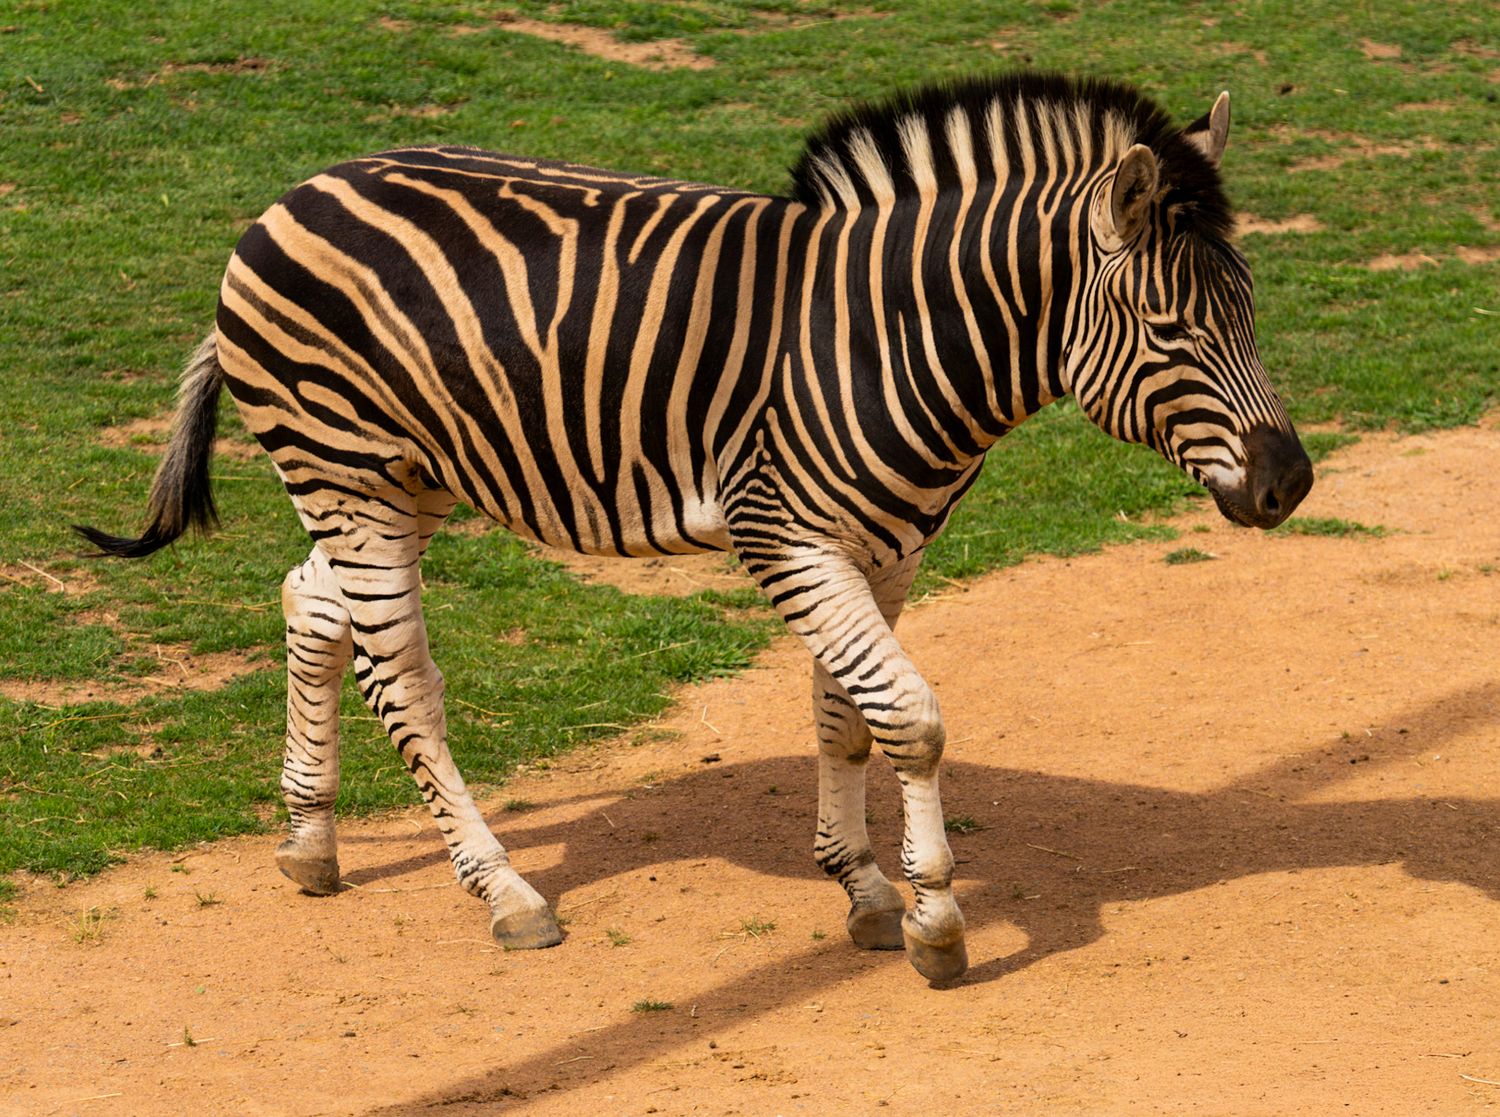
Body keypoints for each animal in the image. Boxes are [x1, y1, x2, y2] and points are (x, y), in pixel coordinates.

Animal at [80, 72, 1312, 983]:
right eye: (1169, 327)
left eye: (1251, 308)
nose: (1290, 483)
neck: (887, 333)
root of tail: (295, 190)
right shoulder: (786, 532)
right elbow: (911, 720)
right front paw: (935, 920)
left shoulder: (883, 547)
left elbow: (847, 719)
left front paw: (864, 888)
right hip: (348, 472)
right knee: (406, 682)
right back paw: (504, 891)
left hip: (399, 480)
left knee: (311, 604)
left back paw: (310, 839)